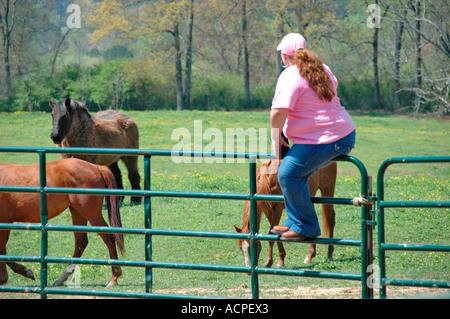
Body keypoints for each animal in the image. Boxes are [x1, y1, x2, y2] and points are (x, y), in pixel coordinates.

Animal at [0, 159, 124, 288]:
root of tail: (96, 167)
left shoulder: (3, 220)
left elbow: (2, 250)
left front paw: (5, 278)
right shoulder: (7, 221)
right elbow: (3, 250)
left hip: (91, 213)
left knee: (108, 237)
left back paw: (114, 278)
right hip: (77, 212)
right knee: (81, 242)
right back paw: (62, 278)